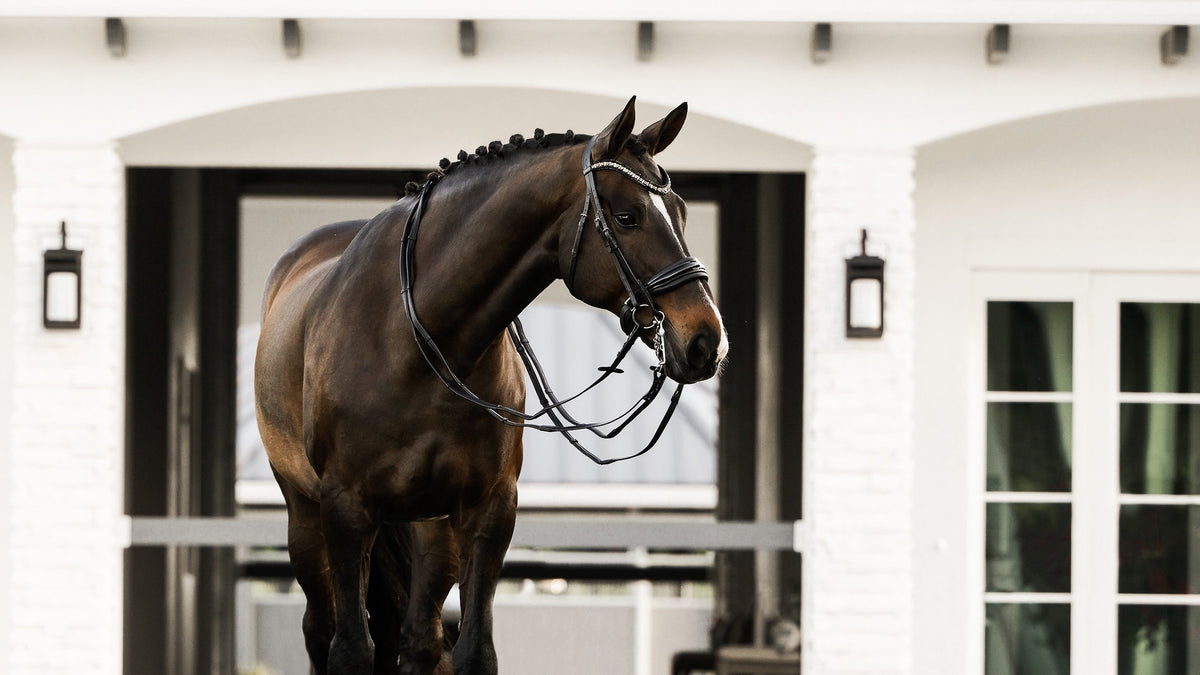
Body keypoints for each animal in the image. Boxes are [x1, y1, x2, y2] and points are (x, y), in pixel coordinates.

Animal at [254, 96, 728, 675]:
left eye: (680, 212)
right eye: (627, 217)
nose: (706, 341)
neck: (413, 342)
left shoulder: (488, 511)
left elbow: (475, 649)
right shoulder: (346, 510)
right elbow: (350, 651)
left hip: (431, 527)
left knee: (420, 639)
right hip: (306, 515)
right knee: (320, 630)